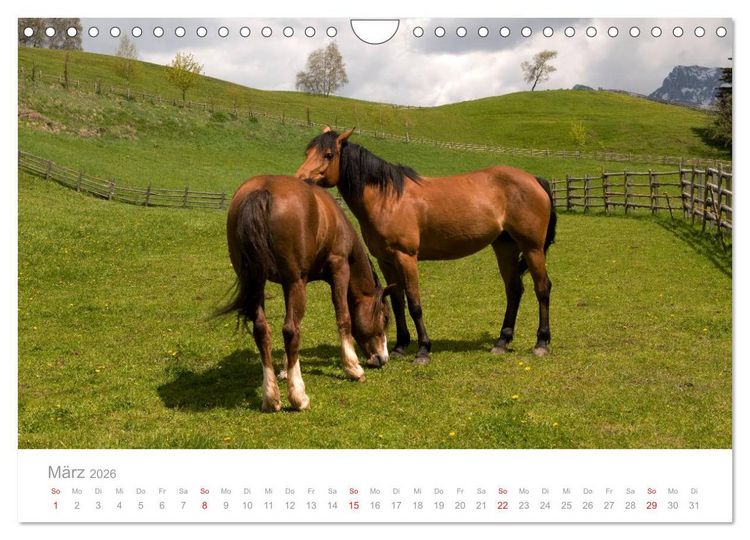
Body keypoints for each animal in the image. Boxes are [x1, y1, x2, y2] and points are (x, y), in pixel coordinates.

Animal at [217, 175, 394, 412]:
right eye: (385, 318)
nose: (383, 358)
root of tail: (263, 191)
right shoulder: (339, 268)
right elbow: (344, 318)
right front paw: (353, 368)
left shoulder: (286, 284)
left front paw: (284, 369)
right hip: (295, 282)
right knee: (291, 330)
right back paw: (298, 396)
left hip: (258, 282)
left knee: (263, 330)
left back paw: (271, 397)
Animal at [295, 127, 556, 365]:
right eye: (307, 152)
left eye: (328, 154)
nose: (301, 180)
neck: (388, 199)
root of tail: (534, 179)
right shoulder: (386, 259)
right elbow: (397, 301)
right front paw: (400, 346)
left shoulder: (406, 257)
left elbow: (414, 303)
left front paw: (423, 350)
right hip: (505, 247)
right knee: (514, 289)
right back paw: (501, 342)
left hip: (532, 248)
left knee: (542, 288)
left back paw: (541, 343)